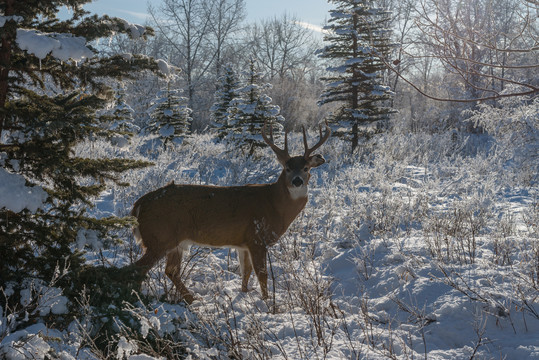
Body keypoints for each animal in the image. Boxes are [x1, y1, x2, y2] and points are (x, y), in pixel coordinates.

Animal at [133, 121, 332, 304]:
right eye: (287, 168)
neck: (274, 205)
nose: (297, 181)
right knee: (139, 268)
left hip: (175, 242)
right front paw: (267, 303)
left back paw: (192, 300)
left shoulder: (243, 243)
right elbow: (262, 274)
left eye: (306, 168)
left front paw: (244, 294)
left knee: (171, 270)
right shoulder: (257, 237)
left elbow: (246, 272)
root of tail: (138, 205)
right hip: (159, 236)